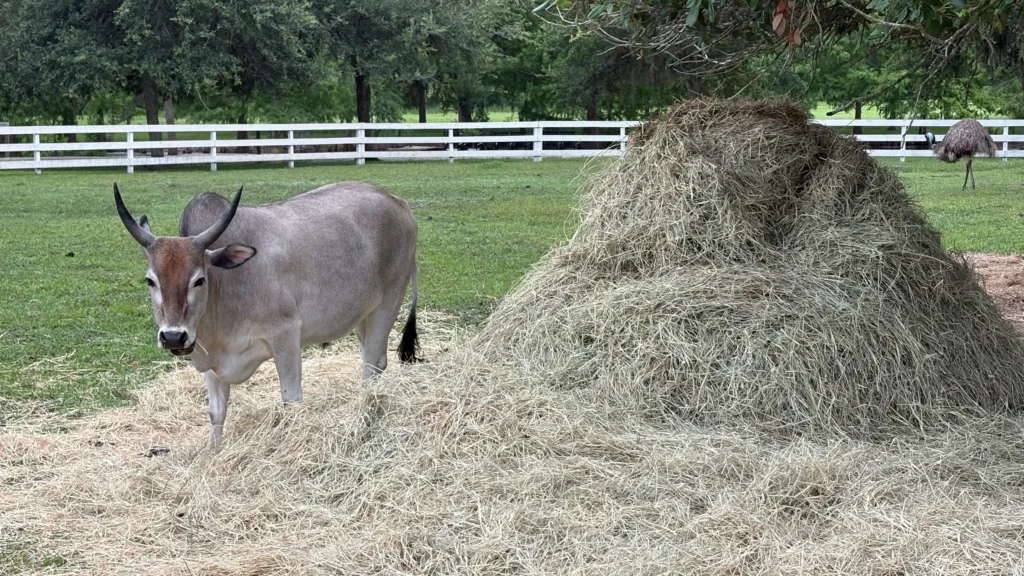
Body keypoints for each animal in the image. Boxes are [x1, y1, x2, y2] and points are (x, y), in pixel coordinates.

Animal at [114, 182, 420, 446]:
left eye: (198, 280)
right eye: (151, 280)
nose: (173, 337)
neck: (226, 286)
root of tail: (398, 203)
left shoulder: (285, 334)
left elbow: (291, 401)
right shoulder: (211, 356)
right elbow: (216, 412)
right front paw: (212, 453)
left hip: (388, 304)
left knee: (370, 369)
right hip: (363, 316)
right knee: (378, 362)